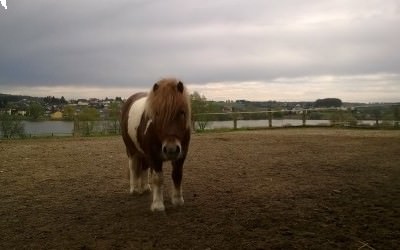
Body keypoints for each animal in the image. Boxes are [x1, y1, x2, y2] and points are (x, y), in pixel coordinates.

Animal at [120, 78, 192, 211]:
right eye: (157, 113)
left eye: (181, 112)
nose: (171, 149)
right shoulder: (154, 156)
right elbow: (158, 179)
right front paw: (158, 205)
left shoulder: (181, 155)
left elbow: (177, 175)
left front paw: (178, 200)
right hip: (131, 150)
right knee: (133, 166)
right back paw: (134, 189)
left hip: (144, 153)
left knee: (144, 167)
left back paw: (145, 188)